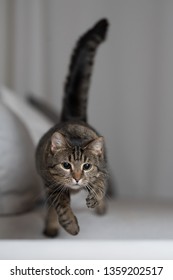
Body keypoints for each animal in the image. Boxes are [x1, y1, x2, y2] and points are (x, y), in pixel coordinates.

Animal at [35, 18, 109, 236]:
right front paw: (69, 224)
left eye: (87, 166)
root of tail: (73, 116)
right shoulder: (51, 184)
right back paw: (51, 227)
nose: (76, 178)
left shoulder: (101, 169)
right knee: (52, 207)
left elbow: (100, 184)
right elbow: (60, 205)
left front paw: (96, 199)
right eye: (66, 165)